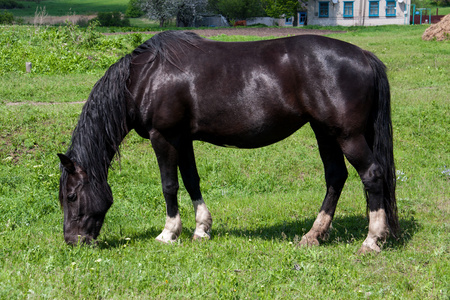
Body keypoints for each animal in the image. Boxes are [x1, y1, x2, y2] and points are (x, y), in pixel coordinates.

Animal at [57, 31, 398, 253]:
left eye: (71, 196)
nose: (73, 242)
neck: (145, 77)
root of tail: (364, 56)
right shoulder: (182, 138)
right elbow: (191, 180)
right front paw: (201, 229)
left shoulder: (163, 136)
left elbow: (169, 184)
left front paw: (169, 233)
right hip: (324, 132)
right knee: (335, 177)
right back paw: (313, 235)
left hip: (346, 135)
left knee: (372, 175)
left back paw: (372, 240)